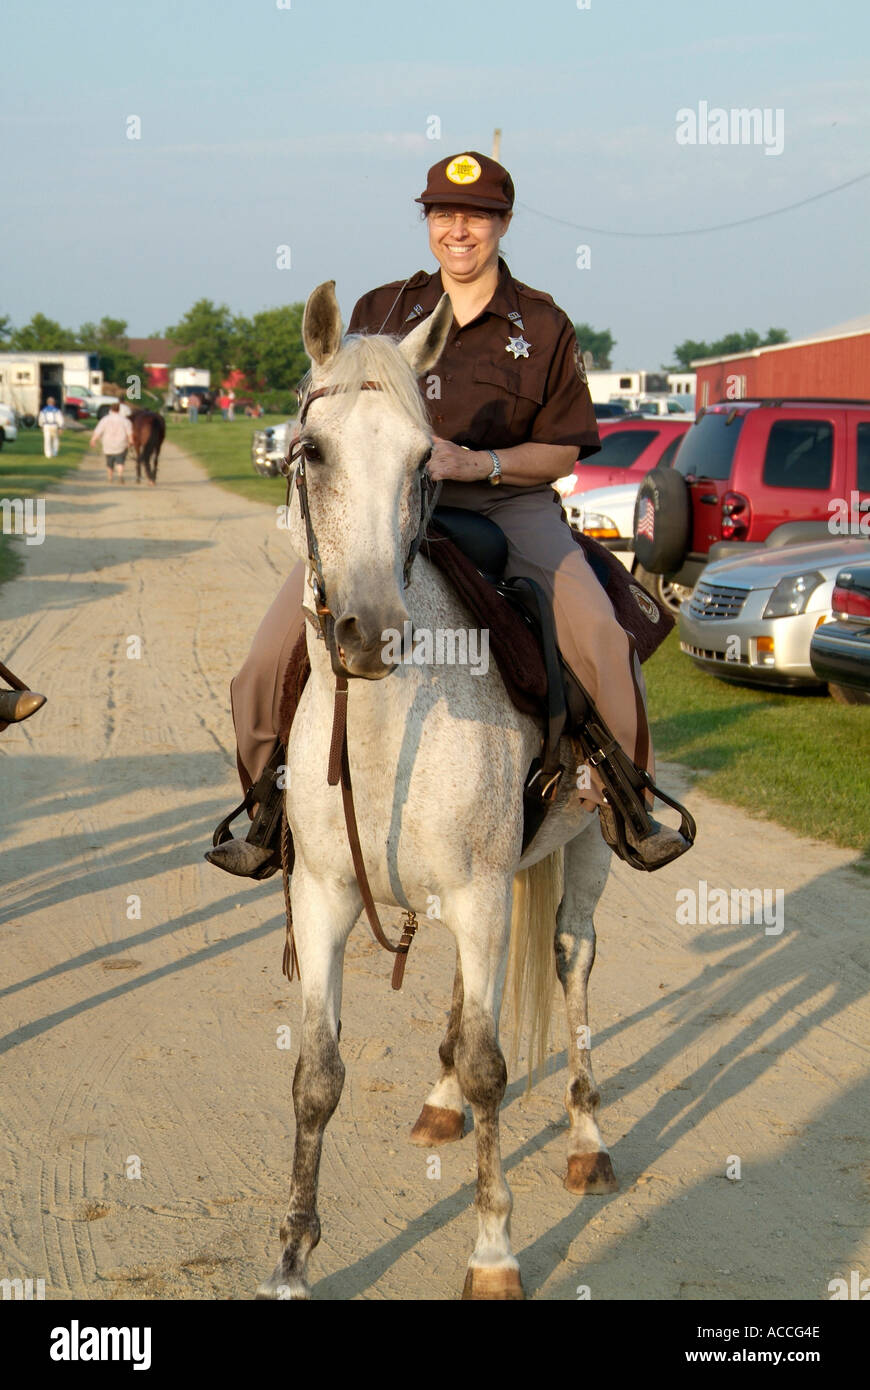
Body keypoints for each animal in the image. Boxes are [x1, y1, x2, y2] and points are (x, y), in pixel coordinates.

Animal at [257, 282, 617, 1301]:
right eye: (312, 452)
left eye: (427, 460)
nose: (371, 632)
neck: (385, 732)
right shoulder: (326, 897)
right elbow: (317, 1078)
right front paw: (292, 1259)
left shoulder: (485, 894)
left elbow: (496, 1068)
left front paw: (493, 1251)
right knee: (466, 1004)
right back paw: (442, 1101)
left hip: (583, 851)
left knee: (572, 962)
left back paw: (586, 1140)